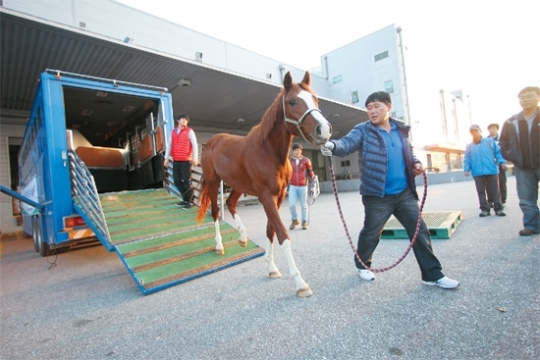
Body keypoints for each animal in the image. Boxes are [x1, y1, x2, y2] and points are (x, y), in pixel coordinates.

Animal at [196, 71, 332, 296]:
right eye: (292, 101)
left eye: (315, 99)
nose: (324, 130)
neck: (268, 151)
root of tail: (212, 142)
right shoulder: (266, 196)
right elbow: (283, 234)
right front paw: (299, 282)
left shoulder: (278, 196)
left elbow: (271, 230)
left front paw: (271, 267)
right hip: (214, 182)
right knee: (215, 211)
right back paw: (219, 246)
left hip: (238, 185)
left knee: (231, 204)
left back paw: (242, 237)